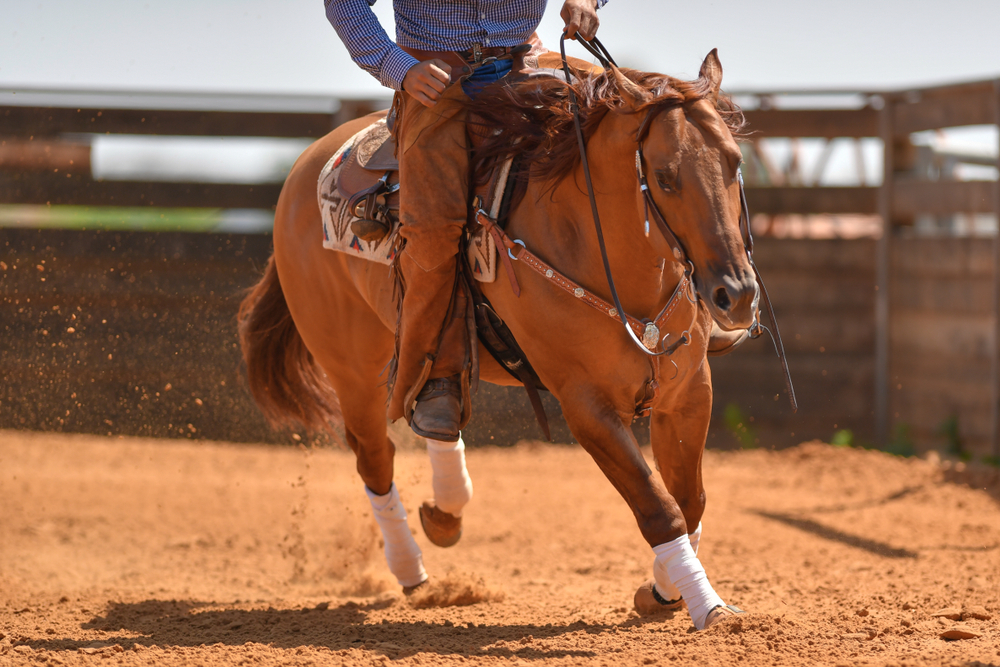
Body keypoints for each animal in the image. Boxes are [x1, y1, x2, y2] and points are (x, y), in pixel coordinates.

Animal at [242, 49, 752, 628]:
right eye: (664, 178)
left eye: (734, 161)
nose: (737, 294)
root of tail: (307, 165)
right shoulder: (587, 405)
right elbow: (659, 508)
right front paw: (707, 606)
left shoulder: (688, 393)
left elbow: (691, 501)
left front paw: (664, 592)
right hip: (352, 365)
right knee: (375, 456)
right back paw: (412, 571)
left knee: (435, 406)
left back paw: (446, 507)